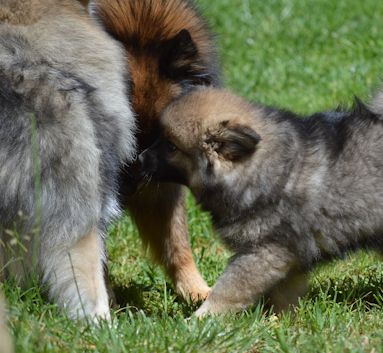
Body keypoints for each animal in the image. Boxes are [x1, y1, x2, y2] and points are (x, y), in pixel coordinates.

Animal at [87, 0, 219, 300]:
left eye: (166, 138)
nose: (126, 193)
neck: (140, 29)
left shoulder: (163, 188)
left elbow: (177, 241)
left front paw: (198, 292)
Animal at [140, 88, 383, 316]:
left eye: (171, 146)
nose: (140, 158)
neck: (260, 169)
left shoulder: (264, 251)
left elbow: (229, 289)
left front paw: (201, 318)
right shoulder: (288, 256)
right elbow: (284, 293)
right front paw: (279, 320)